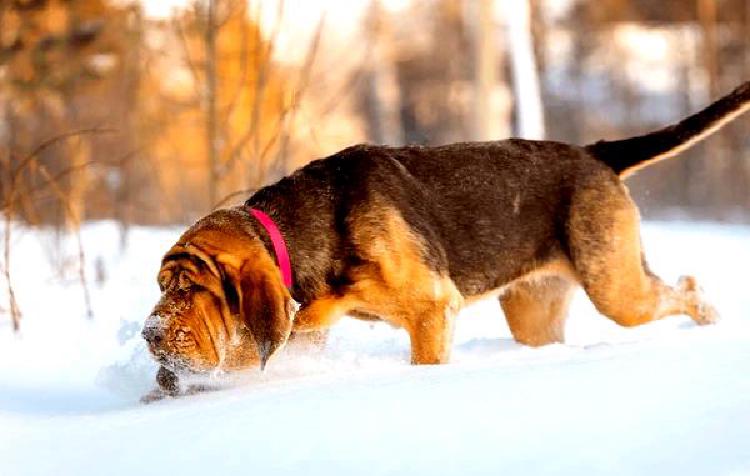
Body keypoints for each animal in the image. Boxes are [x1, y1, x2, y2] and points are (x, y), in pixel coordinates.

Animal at [142, 81, 750, 398]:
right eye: (162, 286)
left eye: (191, 288)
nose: (150, 334)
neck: (299, 235)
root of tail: (594, 153)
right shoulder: (303, 330)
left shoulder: (432, 309)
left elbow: (425, 362)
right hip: (535, 313)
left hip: (616, 288)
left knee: (680, 288)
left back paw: (709, 315)